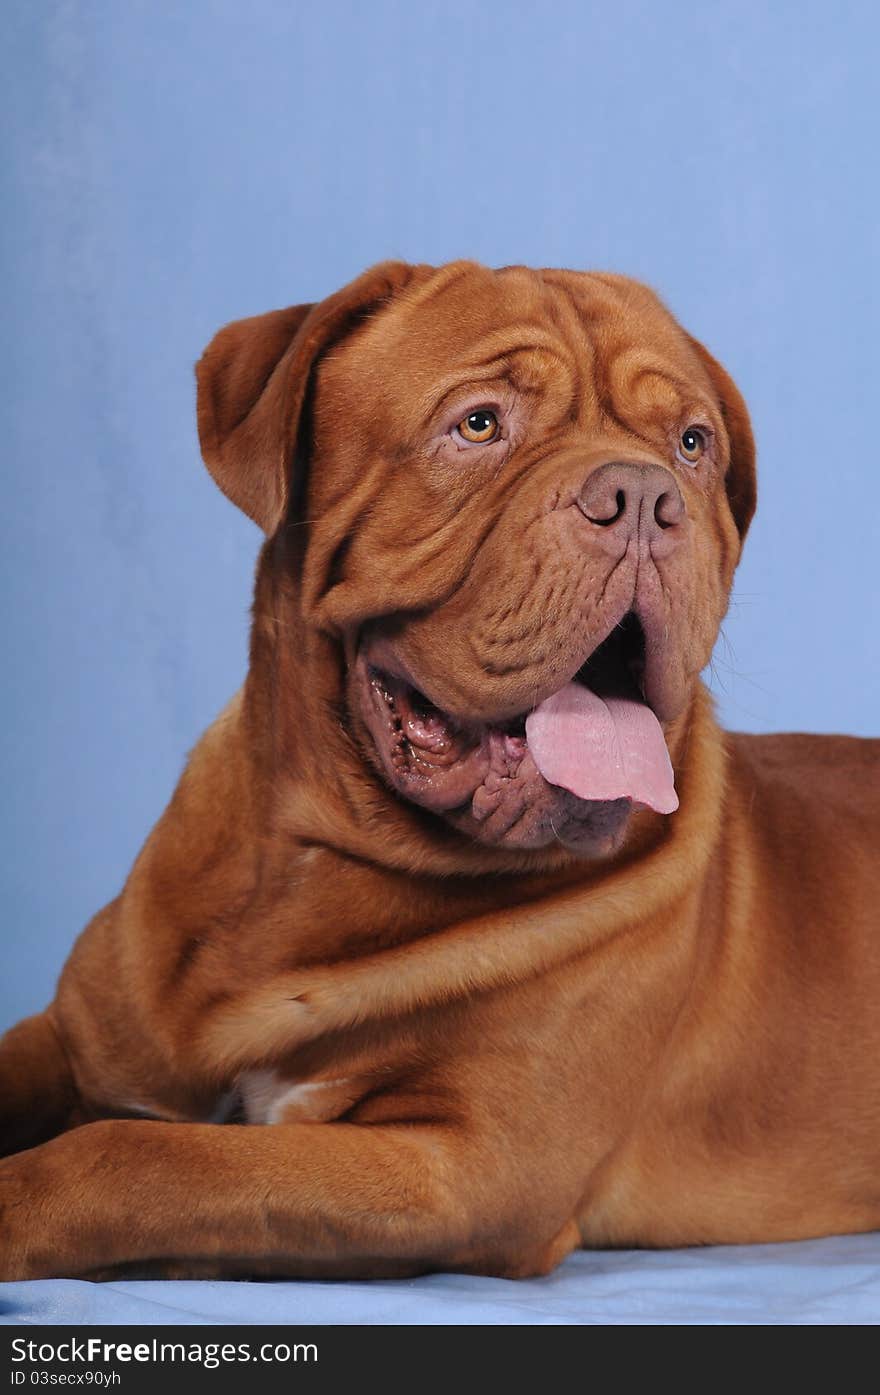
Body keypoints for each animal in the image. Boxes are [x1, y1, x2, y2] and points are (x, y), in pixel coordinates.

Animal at [1, 262, 880, 1283]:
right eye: (480, 424)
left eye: (692, 444)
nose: (643, 496)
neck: (323, 865)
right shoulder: (73, 1034)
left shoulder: (459, 1167)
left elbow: (142, 1155)